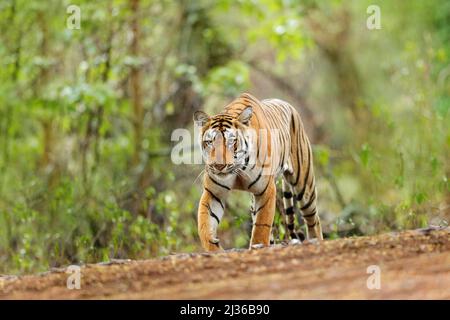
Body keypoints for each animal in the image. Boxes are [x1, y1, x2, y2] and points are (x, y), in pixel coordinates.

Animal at [192, 91, 322, 251]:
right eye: (210, 142)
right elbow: (204, 223)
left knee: (313, 220)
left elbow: (261, 226)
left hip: (304, 186)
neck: (238, 169)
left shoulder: (266, 190)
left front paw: (257, 246)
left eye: (232, 141)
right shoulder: (214, 193)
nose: (218, 166)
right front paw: (213, 247)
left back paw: (317, 242)